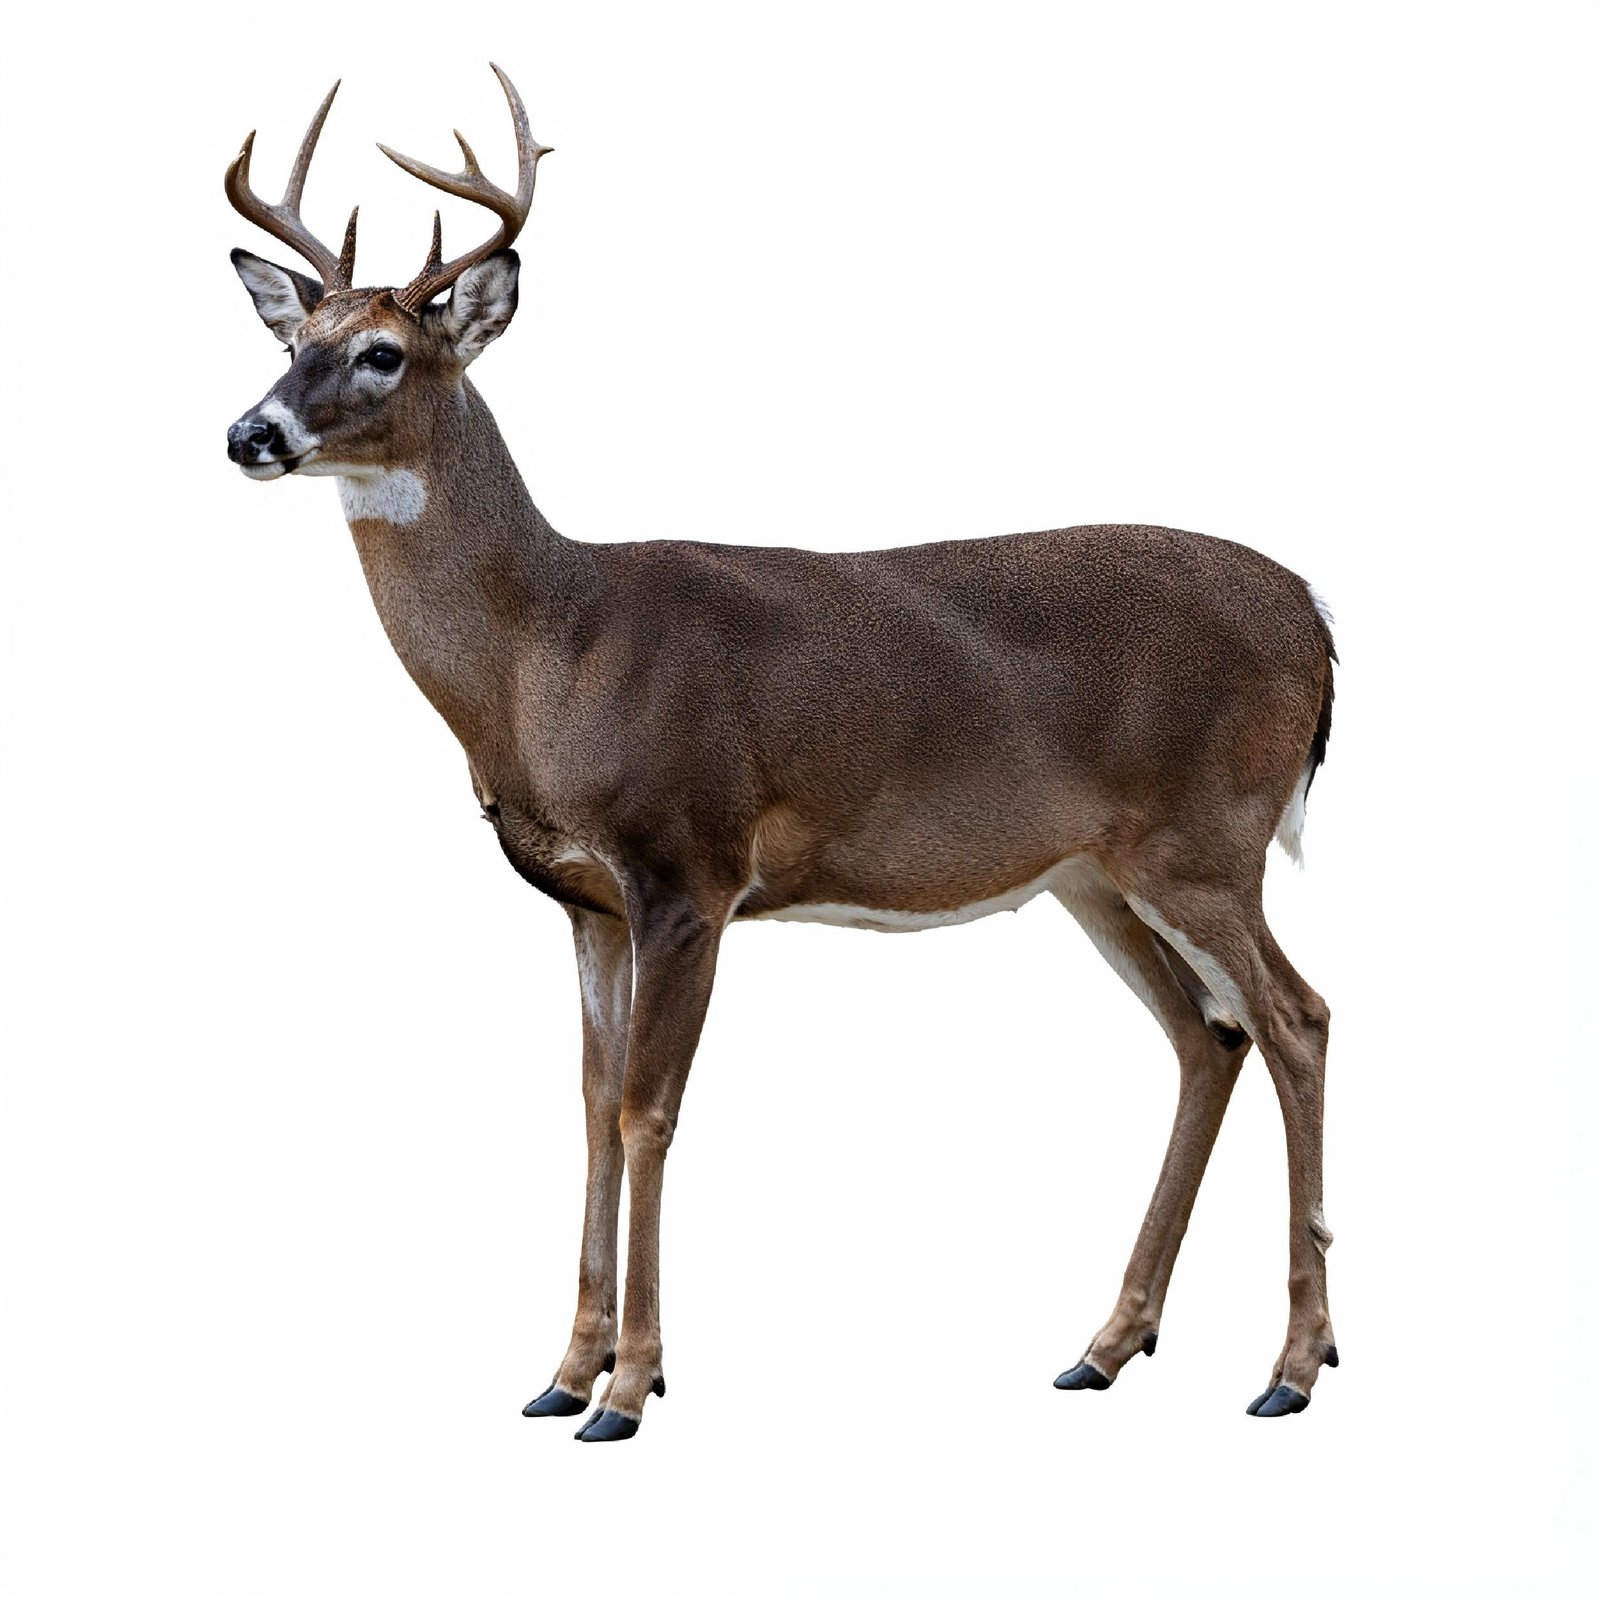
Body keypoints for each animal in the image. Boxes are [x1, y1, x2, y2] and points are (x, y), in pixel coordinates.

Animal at [224, 66, 1339, 1442]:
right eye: (291, 343)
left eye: (383, 351)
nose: (248, 433)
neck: (550, 654)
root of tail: (1315, 614)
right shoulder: (586, 900)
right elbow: (590, 1109)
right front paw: (563, 1370)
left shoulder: (689, 863)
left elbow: (649, 1111)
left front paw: (630, 1387)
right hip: (1097, 873)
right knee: (1208, 1036)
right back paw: (1106, 1343)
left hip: (1207, 836)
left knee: (1294, 1016)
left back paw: (1292, 1364)